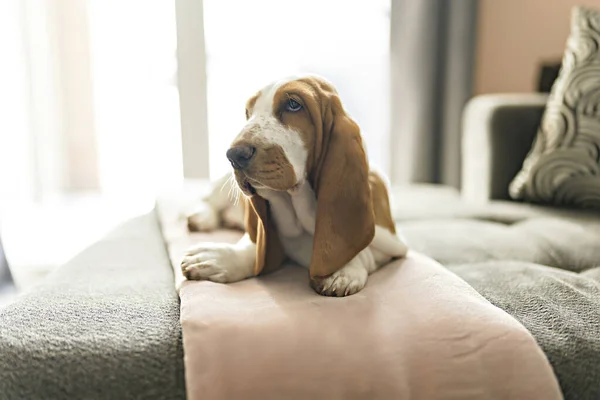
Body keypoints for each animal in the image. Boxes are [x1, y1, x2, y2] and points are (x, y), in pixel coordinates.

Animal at [182, 75, 408, 296]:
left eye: (293, 104)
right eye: (248, 113)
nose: (234, 155)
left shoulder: (393, 242)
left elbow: (365, 251)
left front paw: (343, 271)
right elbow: (256, 245)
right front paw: (217, 258)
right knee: (209, 200)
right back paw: (202, 218)